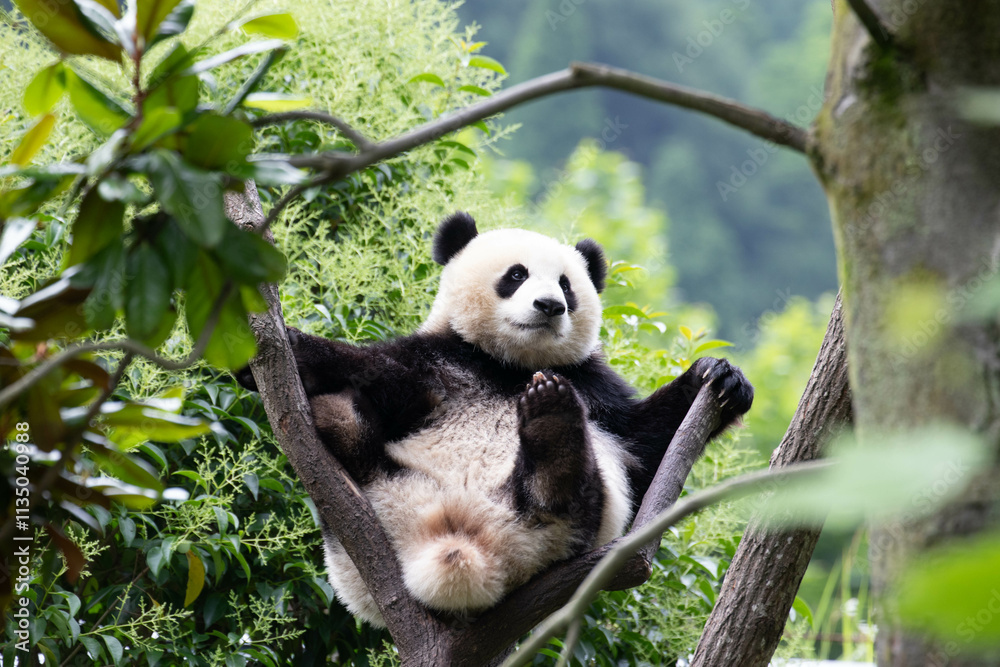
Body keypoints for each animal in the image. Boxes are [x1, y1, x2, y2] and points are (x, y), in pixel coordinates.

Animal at [238, 212, 753, 627]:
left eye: (566, 284)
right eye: (517, 274)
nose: (550, 306)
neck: (509, 366)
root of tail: (461, 548)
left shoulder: (593, 388)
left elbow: (644, 443)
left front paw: (721, 380)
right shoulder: (438, 359)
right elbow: (370, 367)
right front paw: (281, 349)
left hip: (571, 524)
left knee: (573, 494)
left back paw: (550, 430)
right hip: (373, 508)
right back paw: (339, 419)